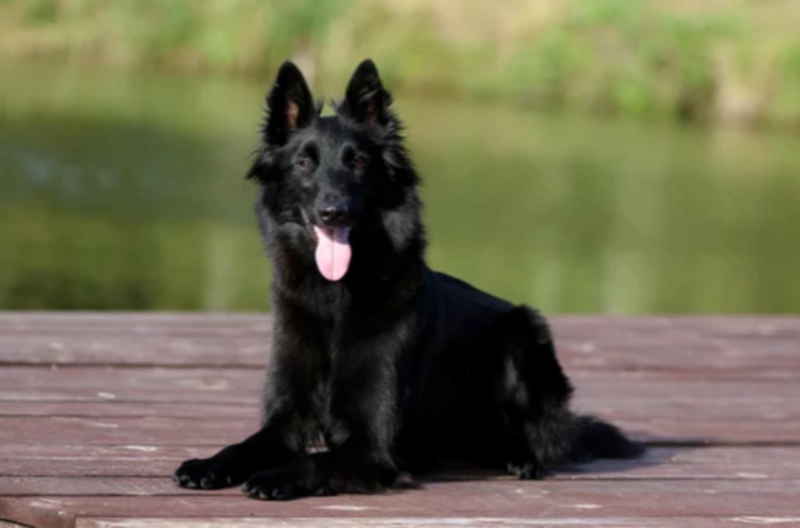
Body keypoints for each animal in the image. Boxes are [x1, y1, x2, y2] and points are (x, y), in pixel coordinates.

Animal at [175, 59, 644, 502]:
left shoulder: (371, 446)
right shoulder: (287, 421)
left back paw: (520, 457)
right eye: (304, 163)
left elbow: (313, 462)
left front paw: (273, 476)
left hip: (520, 334)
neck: (335, 299)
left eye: (358, 162)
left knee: (536, 438)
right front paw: (208, 464)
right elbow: (243, 446)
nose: (333, 212)